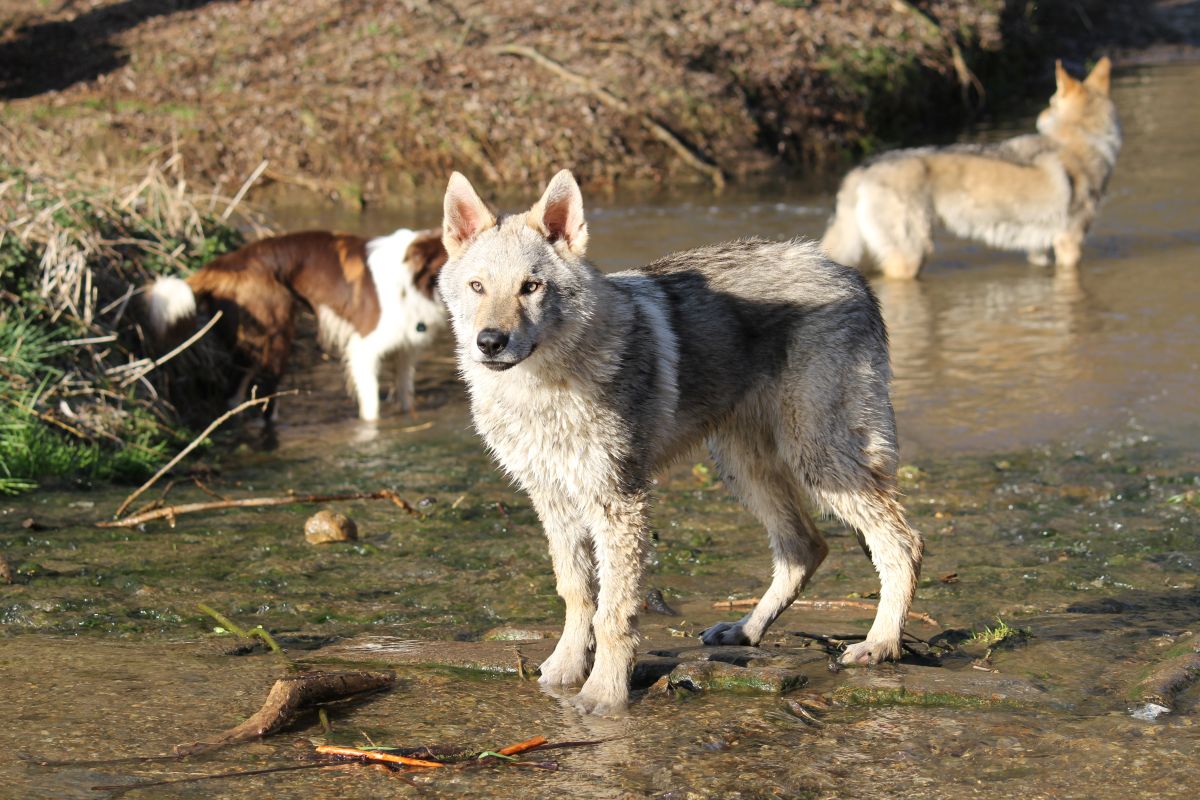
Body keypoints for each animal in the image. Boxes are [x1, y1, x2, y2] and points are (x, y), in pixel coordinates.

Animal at [147, 227, 448, 422]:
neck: (411, 281)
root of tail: (221, 264)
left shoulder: (406, 349)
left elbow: (406, 398)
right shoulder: (364, 349)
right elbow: (372, 407)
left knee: (236, 390)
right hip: (277, 333)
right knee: (266, 394)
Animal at [820, 57, 1118, 277]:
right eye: (1052, 101)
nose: (1041, 115)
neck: (1080, 140)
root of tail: (864, 167)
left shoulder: (1039, 249)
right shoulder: (1070, 244)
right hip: (910, 256)